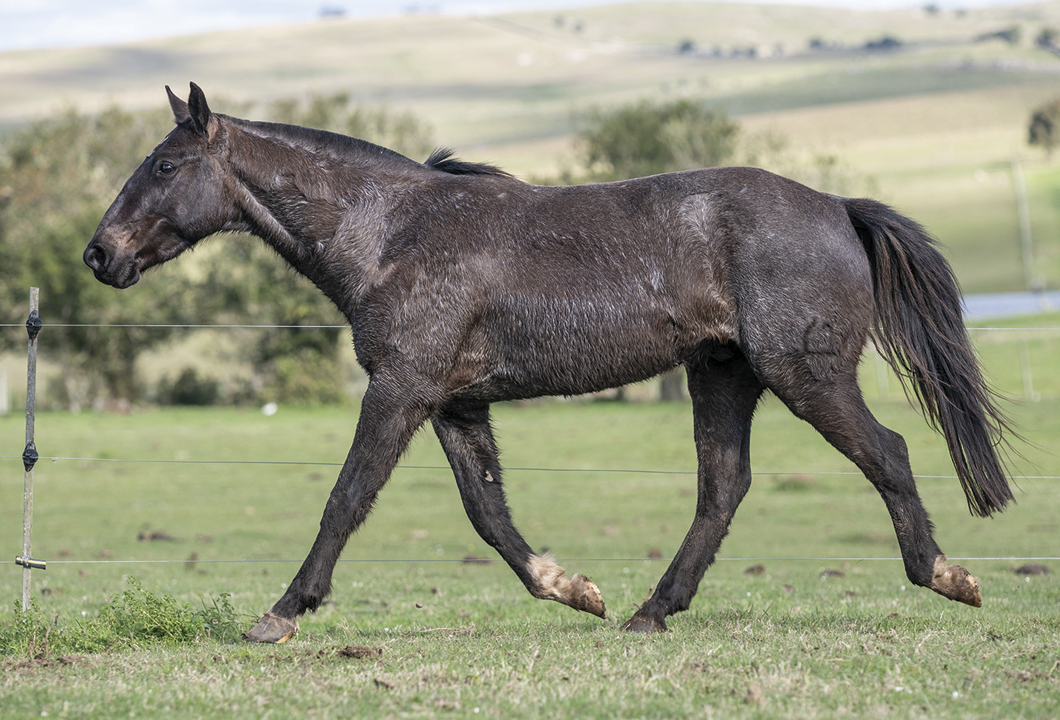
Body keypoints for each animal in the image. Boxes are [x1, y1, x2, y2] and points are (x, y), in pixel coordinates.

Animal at [80, 84, 1009, 640]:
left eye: (166, 163)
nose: (99, 254)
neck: (388, 235)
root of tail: (837, 207)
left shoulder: (400, 391)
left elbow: (345, 500)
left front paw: (279, 614)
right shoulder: (454, 405)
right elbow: (488, 515)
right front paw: (572, 588)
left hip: (804, 378)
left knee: (886, 454)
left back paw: (947, 576)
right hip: (722, 375)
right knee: (723, 490)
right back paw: (647, 613)